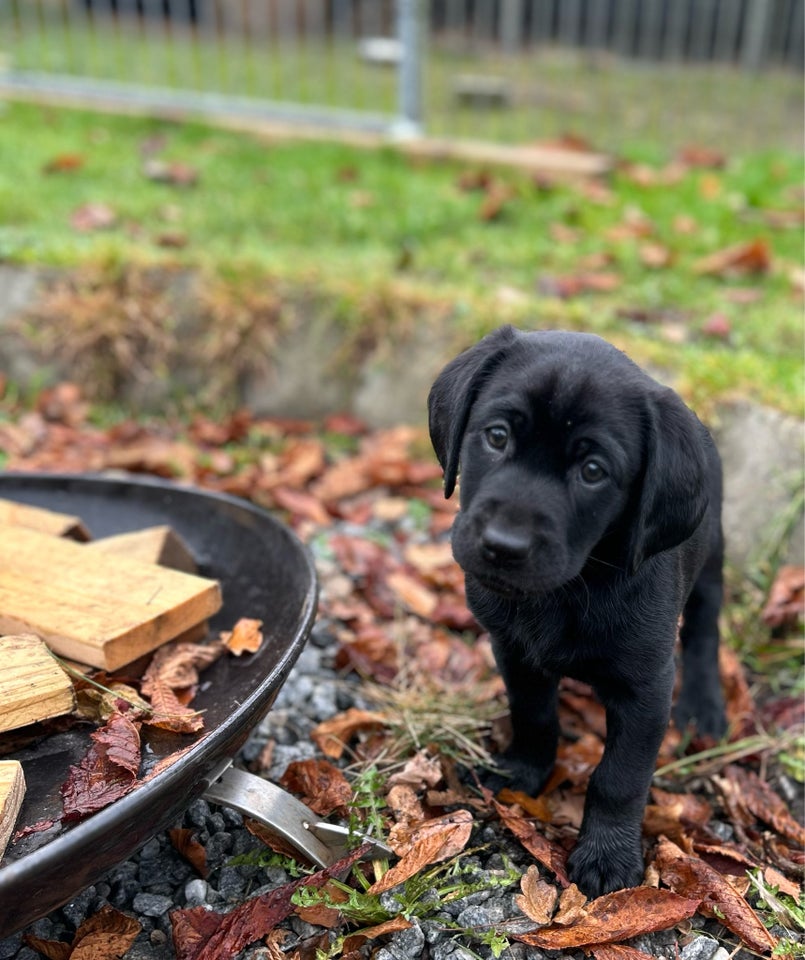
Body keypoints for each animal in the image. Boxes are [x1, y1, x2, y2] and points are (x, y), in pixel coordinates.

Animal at [430, 328, 724, 900]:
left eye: (593, 471)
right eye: (496, 436)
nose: (503, 546)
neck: (570, 590)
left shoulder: (647, 689)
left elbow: (619, 778)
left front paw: (607, 856)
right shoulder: (514, 652)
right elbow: (534, 715)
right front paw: (523, 772)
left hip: (713, 559)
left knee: (705, 630)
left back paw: (705, 705)